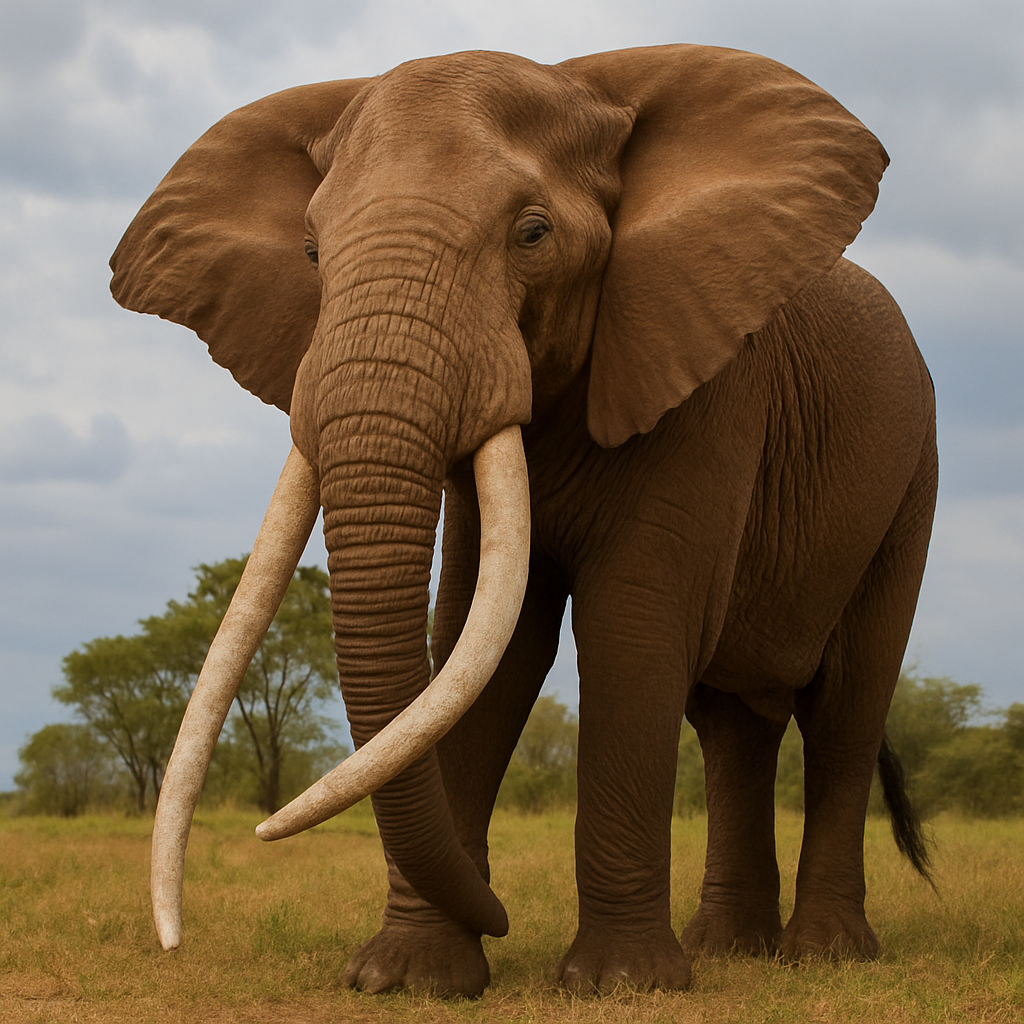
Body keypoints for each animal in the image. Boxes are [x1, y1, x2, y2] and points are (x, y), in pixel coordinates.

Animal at [109, 44, 937, 997]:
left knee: (848, 705)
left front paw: (622, 985)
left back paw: (823, 954)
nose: (500, 913)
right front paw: (412, 979)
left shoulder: (706, 379)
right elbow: (481, 641)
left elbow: (632, 629)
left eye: (533, 234)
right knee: (732, 728)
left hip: (911, 481)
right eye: (313, 251)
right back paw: (730, 949)